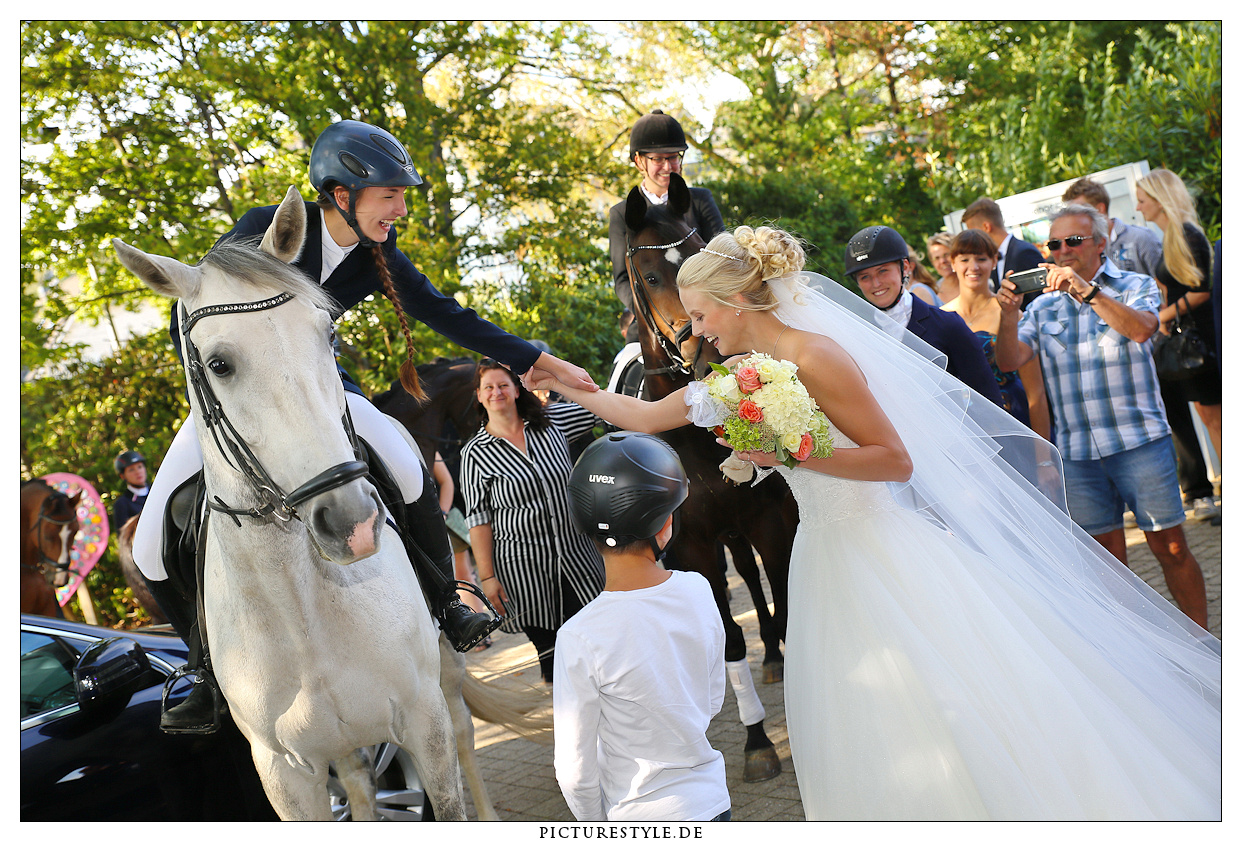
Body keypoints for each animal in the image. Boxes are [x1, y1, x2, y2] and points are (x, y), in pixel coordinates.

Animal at [620, 173, 799, 782]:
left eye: (702, 252)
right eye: (650, 276)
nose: (704, 354)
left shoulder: (772, 521)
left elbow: (786, 602)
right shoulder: (694, 547)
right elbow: (729, 643)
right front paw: (757, 743)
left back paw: (777, 659)